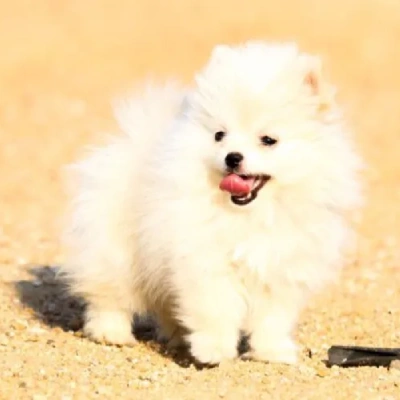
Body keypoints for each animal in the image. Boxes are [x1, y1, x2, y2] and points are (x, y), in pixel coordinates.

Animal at [61, 41, 362, 366]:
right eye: (219, 135)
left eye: (268, 140)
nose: (233, 157)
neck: (251, 215)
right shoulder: (205, 262)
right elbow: (215, 309)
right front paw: (213, 350)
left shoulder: (280, 268)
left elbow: (272, 318)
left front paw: (271, 352)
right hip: (115, 252)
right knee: (109, 295)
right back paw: (111, 332)